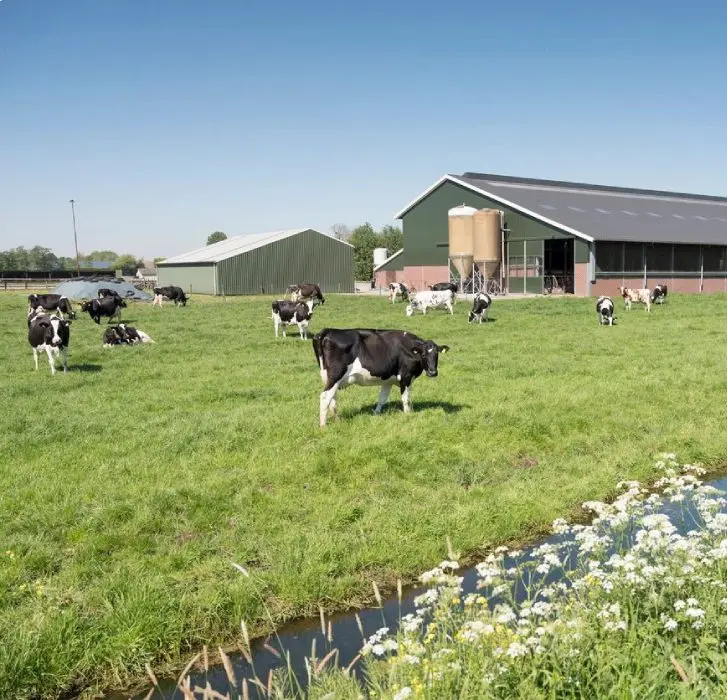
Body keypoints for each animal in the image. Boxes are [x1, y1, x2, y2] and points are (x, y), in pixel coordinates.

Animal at [312, 326, 450, 426]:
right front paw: (408, 415)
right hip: (336, 375)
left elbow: (382, 398)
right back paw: (323, 425)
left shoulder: (387, 380)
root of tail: (328, 330)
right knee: (325, 397)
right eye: (423, 354)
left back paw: (337, 420)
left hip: (330, 378)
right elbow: (406, 399)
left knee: (332, 398)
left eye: (436, 354)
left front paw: (376, 414)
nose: (433, 372)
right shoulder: (406, 377)